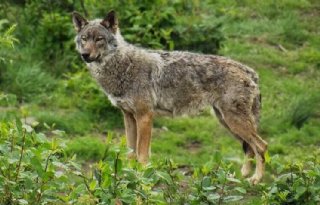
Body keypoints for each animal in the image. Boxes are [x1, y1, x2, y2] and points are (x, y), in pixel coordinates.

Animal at [72, 10, 268, 185]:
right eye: (84, 39)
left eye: (99, 39)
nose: (85, 55)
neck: (122, 67)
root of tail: (249, 71)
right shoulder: (128, 116)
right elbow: (130, 152)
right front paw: (127, 176)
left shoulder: (145, 116)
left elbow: (142, 155)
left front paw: (142, 178)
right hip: (227, 122)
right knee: (250, 148)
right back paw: (241, 176)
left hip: (234, 122)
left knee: (261, 146)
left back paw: (256, 179)